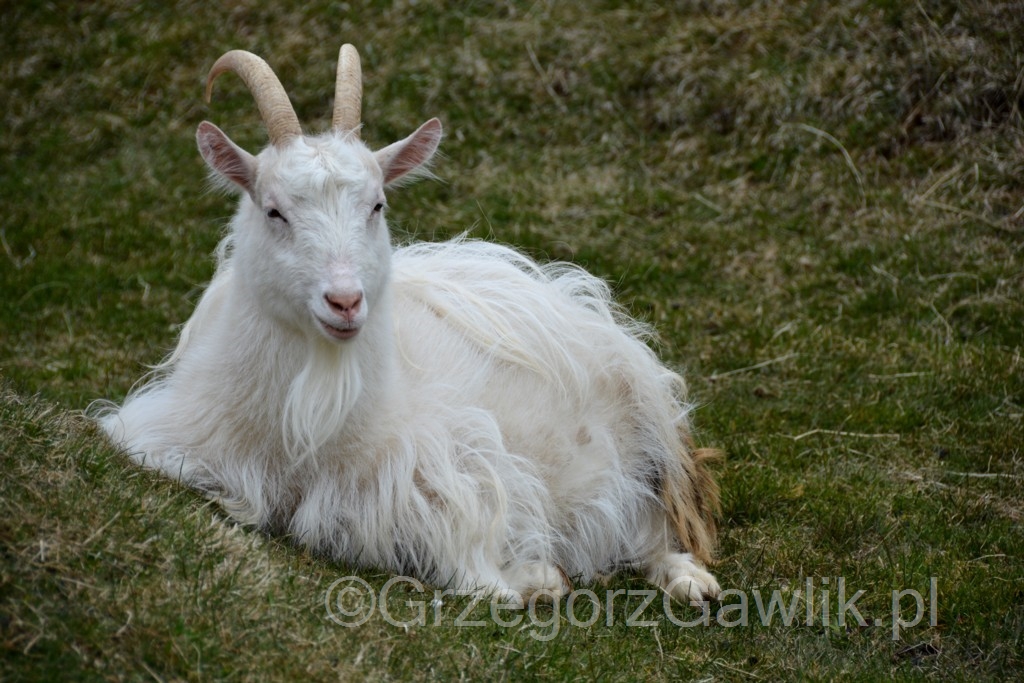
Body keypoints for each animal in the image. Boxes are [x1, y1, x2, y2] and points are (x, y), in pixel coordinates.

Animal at [96, 46, 720, 602]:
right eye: (274, 210)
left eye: (377, 205)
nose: (345, 301)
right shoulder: (161, 437)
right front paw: (540, 575)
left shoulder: (448, 470)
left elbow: (479, 566)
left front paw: (534, 578)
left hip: (649, 444)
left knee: (653, 530)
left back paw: (690, 581)